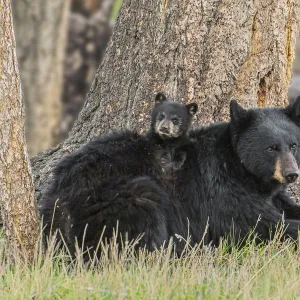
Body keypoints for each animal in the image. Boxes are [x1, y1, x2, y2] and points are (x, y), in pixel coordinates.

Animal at [39, 97, 300, 256]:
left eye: (293, 145)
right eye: (271, 148)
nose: (292, 174)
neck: (242, 169)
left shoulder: (269, 194)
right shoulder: (221, 188)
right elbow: (254, 223)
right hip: (112, 197)